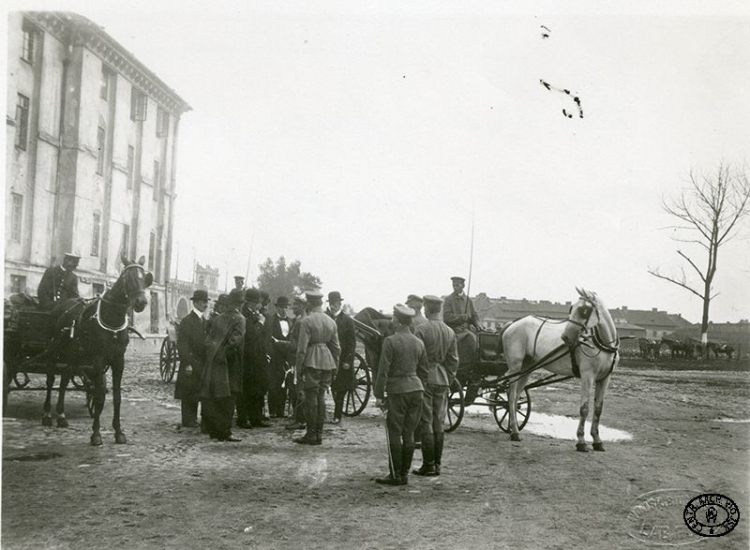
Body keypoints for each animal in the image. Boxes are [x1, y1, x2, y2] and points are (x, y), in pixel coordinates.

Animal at [42, 256, 153, 446]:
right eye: (127, 278)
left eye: (144, 278)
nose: (141, 303)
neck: (112, 318)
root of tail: (62, 306)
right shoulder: (98, 359)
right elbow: (100, 395)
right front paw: (96, 434)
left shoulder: (118, 360)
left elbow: (117, 397)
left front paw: (119, 432)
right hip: (54, 353)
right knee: (50, 381)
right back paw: (48, 414)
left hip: (73, 356)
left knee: (64, 379)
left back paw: (61, 415)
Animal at [506, 288, 624, 452]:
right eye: (571, 308)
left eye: (584, 310)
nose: (566, 337)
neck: (603, 344)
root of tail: (512, 324)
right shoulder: (588, 376)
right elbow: (584, 408)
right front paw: (581, 441)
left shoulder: (605, 378)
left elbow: (598, 409)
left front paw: (597, 440)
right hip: (515, 366)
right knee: (511, 397)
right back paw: (514, 432)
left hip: (526, 368)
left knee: (516, 397)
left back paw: (514, 428)